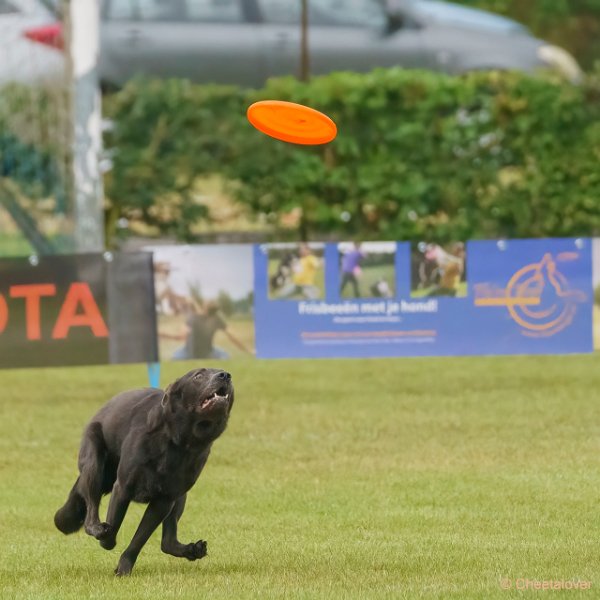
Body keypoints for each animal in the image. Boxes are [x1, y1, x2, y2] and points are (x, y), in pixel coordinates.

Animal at [54, 368, 234, 576]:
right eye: (198, 375)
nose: (225, 375)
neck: (178, 442)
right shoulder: (122, 488)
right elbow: (111, 532)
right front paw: (107, 540)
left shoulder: (165, 500)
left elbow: (139, 539)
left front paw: (124, 568)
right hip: (94, 460)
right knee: (91, 504)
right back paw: (96, 528)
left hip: (181, 497)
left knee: (167, 542)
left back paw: (192, 550)